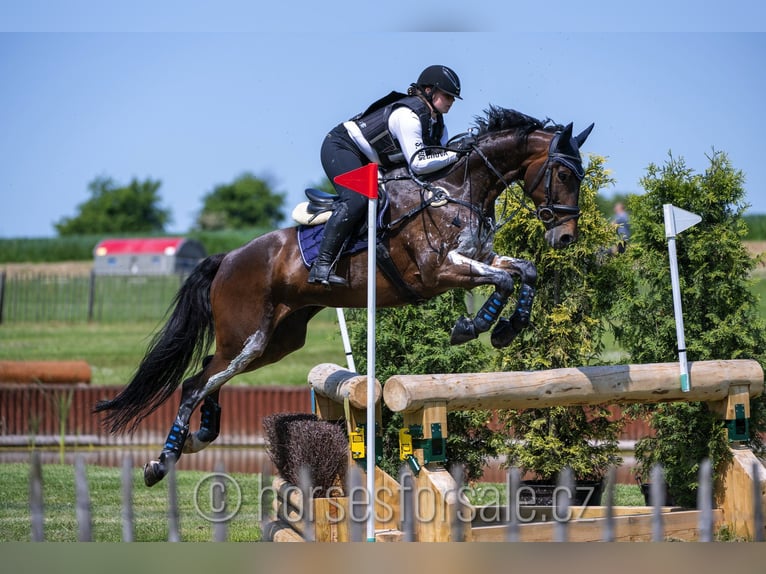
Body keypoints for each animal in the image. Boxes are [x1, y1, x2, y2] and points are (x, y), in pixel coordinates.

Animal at [96, 107, 596, 486]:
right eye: (563, 172)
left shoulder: (480, 258)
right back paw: (161, 463)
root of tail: (228, 258)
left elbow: (523, 272)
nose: (566, 237)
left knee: (207, 374)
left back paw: (200, 435)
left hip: (275, 342)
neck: (455, 190)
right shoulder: (440, 272)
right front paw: (474, 326)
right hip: (247, 336)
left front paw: (508, 328)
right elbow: (504, 282)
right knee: (196, 382)